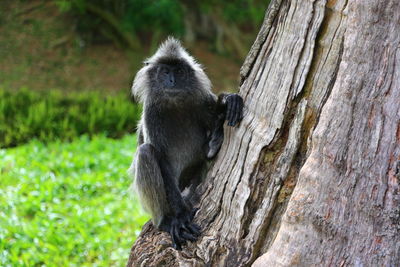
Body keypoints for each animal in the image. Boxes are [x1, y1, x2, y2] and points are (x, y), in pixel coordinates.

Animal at [130, 36, 244, 250]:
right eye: (165, 71)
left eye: (179, 72)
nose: (171, 81)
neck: (174, 103)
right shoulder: (151, 113)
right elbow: (161, 160)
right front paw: (181, 217)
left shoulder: (200, 99)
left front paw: (228, 100)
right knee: (146, 152)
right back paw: (165, 221)